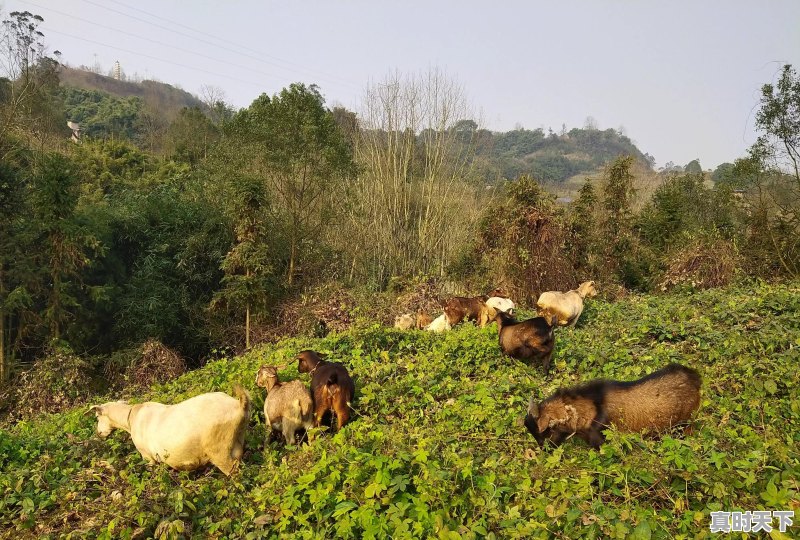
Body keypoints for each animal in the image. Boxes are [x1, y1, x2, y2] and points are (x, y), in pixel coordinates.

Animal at [88, 384, 252, 476]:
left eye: (97, 416)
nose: (99, 433)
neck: (131, 418)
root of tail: (239, 406)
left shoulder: (147, 456)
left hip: (219, 450)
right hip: (237, 443)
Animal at [528, 364, 704, 450]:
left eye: (547, 432)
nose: (545, 450)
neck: (592, 405)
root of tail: (694, 377)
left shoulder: (600, 437)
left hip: (685, 424)